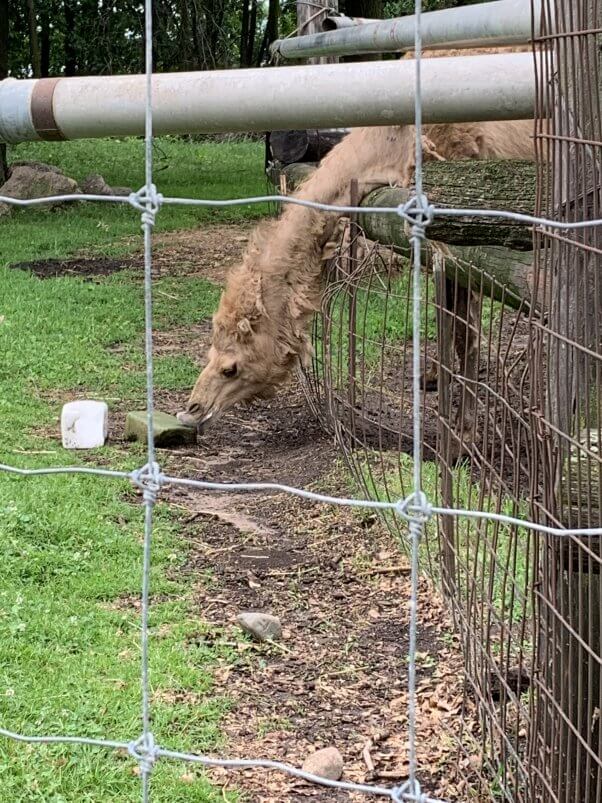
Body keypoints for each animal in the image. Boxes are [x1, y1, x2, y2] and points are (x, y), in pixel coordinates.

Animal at [176, 113, 532, 430]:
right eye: (209, 352)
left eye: (231, 368)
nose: (192, 409)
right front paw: (431, 379)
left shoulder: (459, 242)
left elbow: (464, 331)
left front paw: (464, 429)